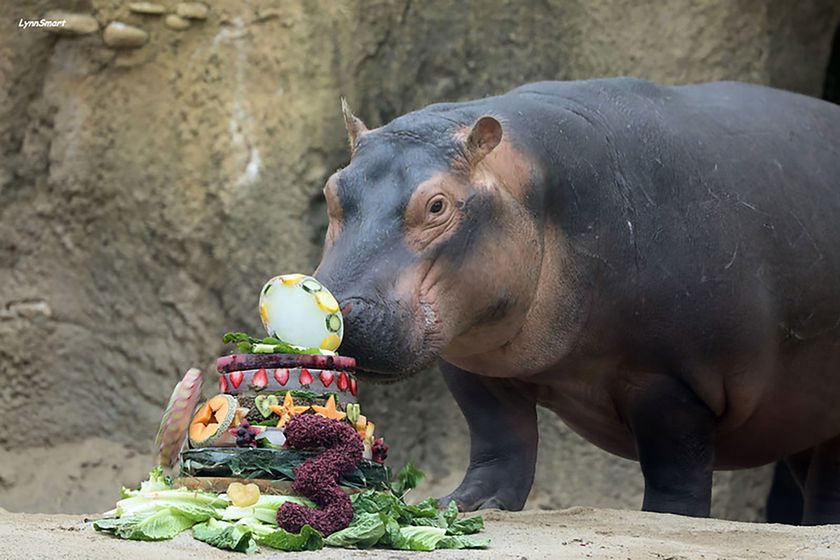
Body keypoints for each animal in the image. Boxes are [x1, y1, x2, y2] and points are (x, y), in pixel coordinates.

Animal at [314, 78, 840, 525]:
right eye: (332, 190)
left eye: (438, 205)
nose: (338, 312)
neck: (540, 192)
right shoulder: (472, 362)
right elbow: (500, 439)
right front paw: (466, 504)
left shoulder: (671, 381)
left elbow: (676, 469)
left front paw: (666, 519)